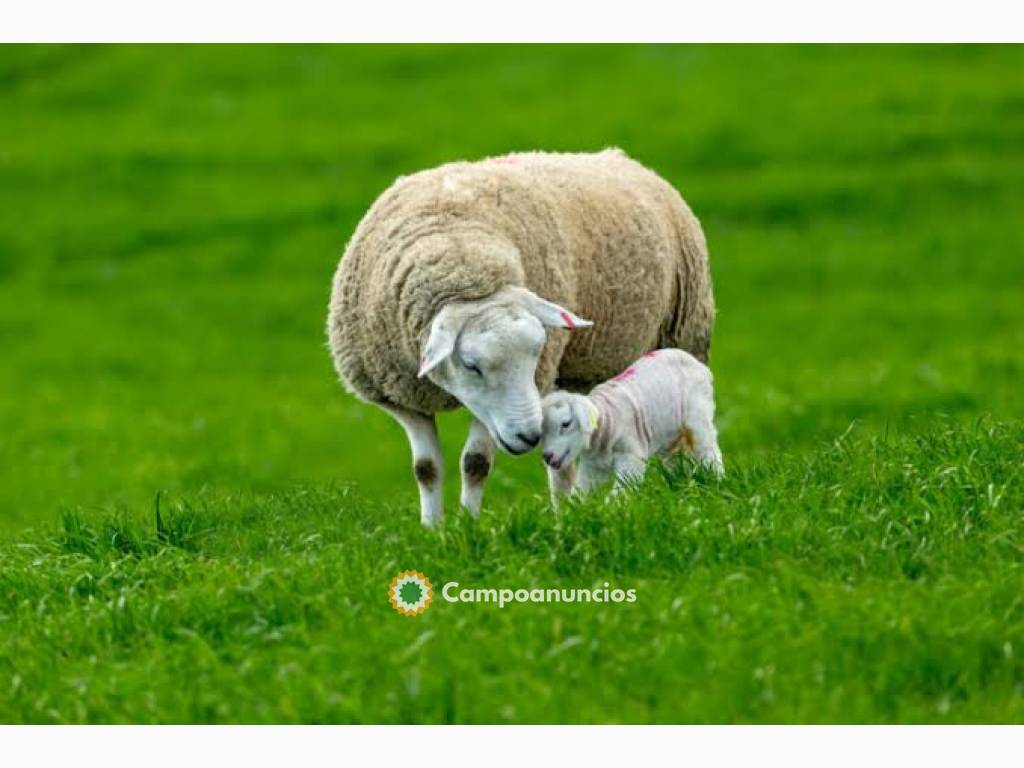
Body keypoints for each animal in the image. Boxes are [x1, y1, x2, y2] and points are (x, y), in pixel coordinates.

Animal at [540, 348, 724, 498]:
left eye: (566, 424)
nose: (547, 456)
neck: (607, 420)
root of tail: (698, 364)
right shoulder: (593, 467)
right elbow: (580, 493)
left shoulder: (631, 455)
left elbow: (622, 491)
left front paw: (611, 511)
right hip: (670, 433)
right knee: (674, 458)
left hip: (698, 413)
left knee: (709, 449)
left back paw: (717, 481)